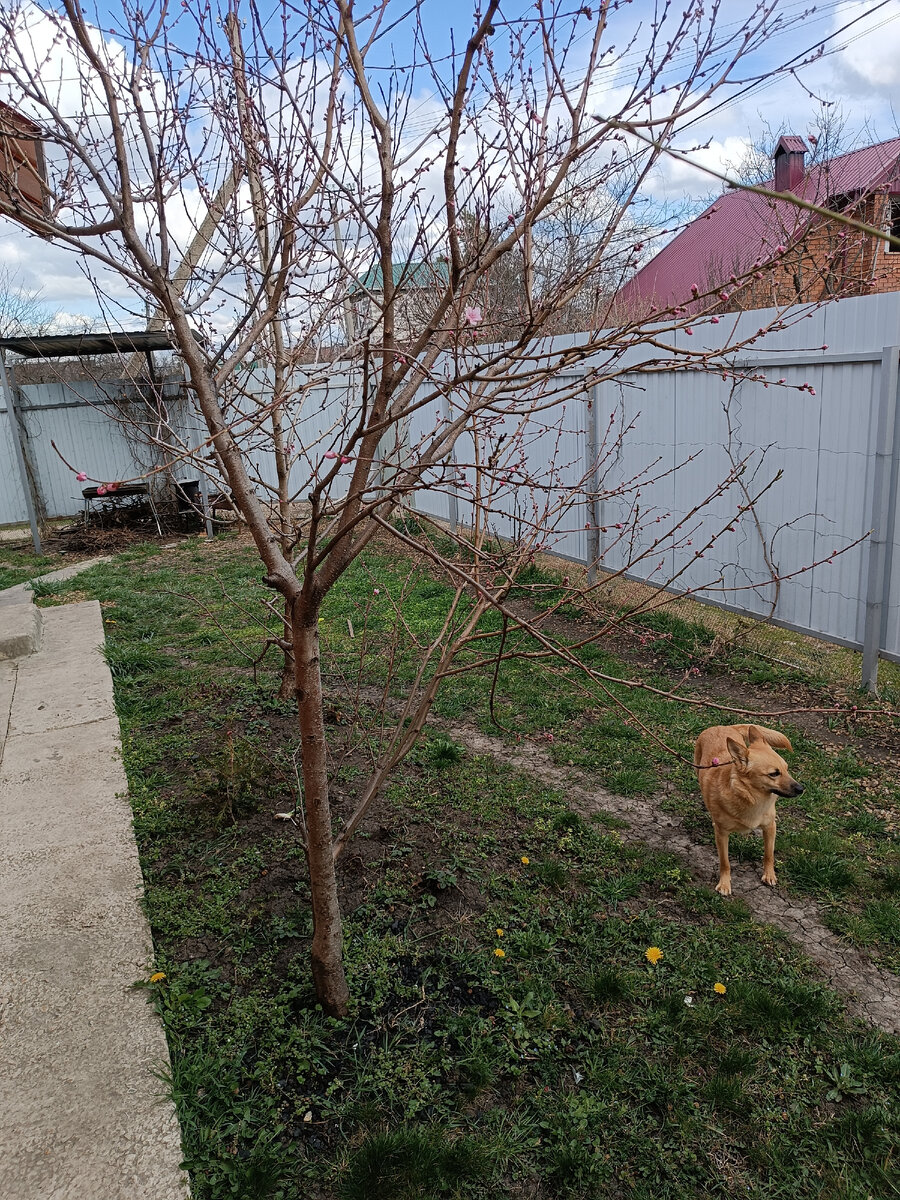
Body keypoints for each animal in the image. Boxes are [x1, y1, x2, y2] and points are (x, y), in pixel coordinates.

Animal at [696, 724, 801, 897]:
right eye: (774, 774)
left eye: (787, 769)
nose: (801, 789)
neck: (752, 799)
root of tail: (722, 726)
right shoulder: (722, 835)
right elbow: (725, 862)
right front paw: (724, 883)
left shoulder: (770, 827)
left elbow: (769, 854)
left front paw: (769, 875)